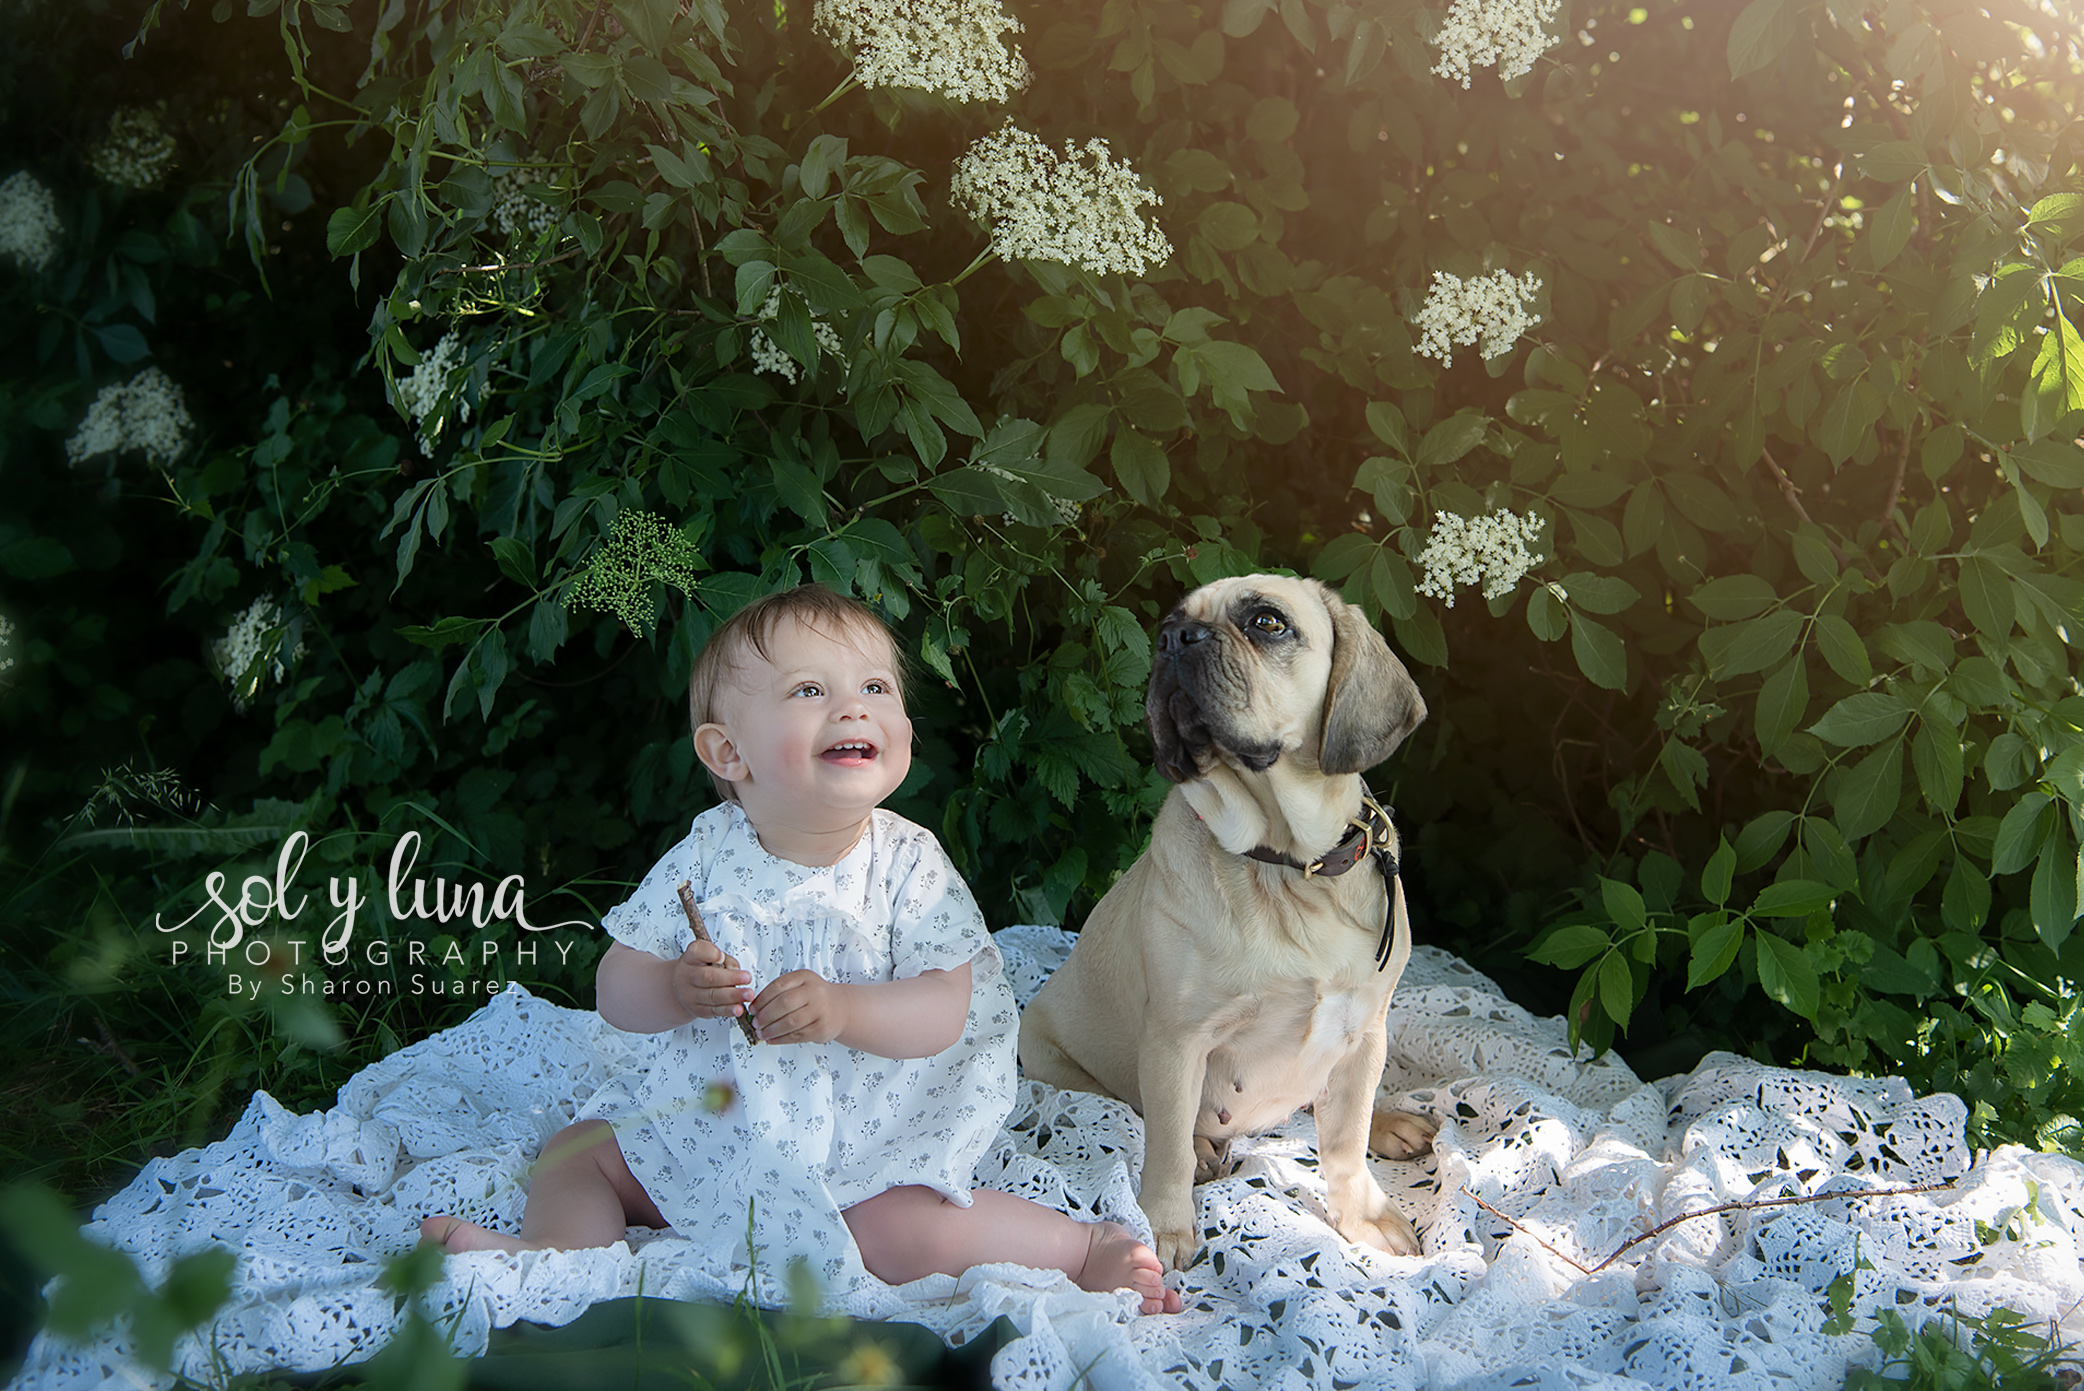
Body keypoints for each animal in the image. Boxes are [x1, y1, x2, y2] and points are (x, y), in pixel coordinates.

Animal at [1021, 571, 1442, 1267]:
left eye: (1267, 622)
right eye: (1166, 624)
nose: (1174, 640)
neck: (1286, 866)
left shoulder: (1364, 1033)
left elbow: (1346, 1141)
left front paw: (1364, 1213)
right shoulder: (1177, 1042)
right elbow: (1164, 1147)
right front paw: (1166, 1228)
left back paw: (1389, 1121)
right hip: (1061, 1062)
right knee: (1143, 1113)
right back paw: (1199, 1151)